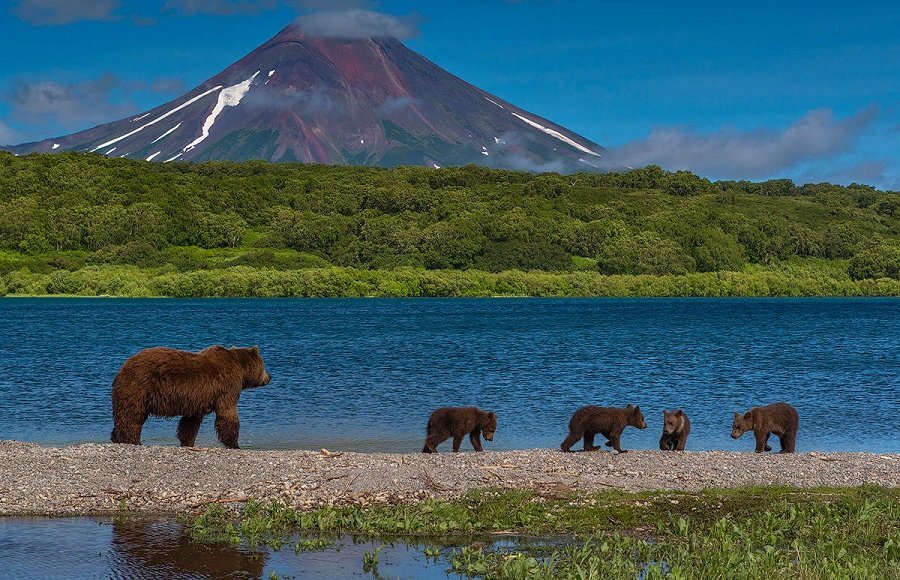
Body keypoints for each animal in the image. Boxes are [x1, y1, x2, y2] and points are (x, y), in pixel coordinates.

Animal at [111, 344, 270, 448]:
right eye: (264, 366)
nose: (269, 377)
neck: (242, 369)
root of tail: (122, 367)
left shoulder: (197, 399)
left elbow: (190, 422)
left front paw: (187, 442)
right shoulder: (228, 386)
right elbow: (227, 414)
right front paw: (234, 444)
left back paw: (116, 437)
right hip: (138, 386)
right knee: (132, 416)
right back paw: (132, 440)